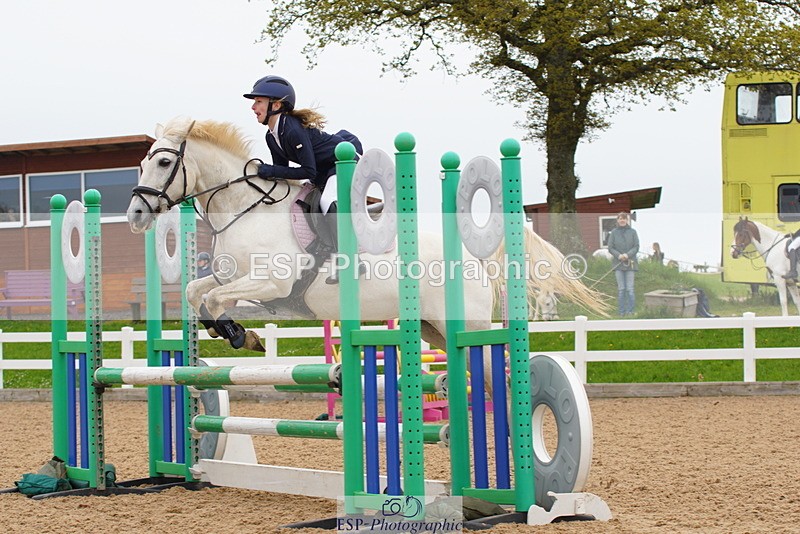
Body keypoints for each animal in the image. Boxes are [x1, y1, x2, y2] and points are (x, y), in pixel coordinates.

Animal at [126, 117, 608, 368]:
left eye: (164, 163)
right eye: (141, 163)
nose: (134, 216)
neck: (247, 209)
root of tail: (472, 258)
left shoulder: (271, 285)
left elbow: (215, 298)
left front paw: (241, 335)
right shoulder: (236, 280)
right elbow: (198, 292)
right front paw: (234, 333)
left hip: (465, 323)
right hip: (432, 328)